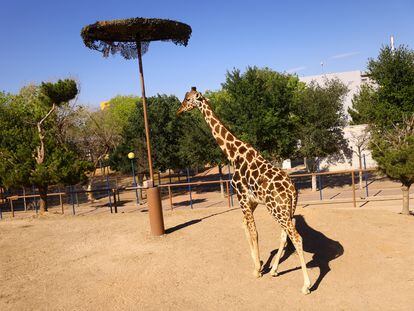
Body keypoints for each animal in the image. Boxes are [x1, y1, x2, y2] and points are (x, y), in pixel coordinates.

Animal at [178, 87, 310, 294]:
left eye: (188, 99)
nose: (179, 110)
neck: (233, 154)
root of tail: (292, 191)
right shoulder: (251, 201)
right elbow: (245, 227)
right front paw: (259, 265)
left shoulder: (241, 197)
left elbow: (254, 231)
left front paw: (257, 270)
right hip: (286, 209)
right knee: (284, 235)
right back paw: (274, 270)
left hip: (277, 209)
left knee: (296, 237)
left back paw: (306, 285)